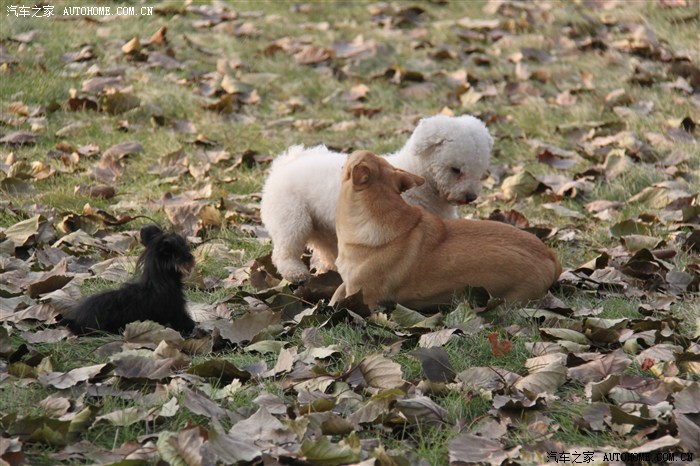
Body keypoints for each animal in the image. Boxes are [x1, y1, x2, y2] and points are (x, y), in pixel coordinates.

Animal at [64, 225, 196, 335]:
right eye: (185, 250)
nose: (192, 257)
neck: (159, 281)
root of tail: (76, 321)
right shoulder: (176, 310)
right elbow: (186, 323)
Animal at [260, 114, 493, 283]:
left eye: (480, 171)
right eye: (455, 170)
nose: (470, 196)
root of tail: (283, 165)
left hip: (322, 225)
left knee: (326, 248)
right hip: (291, 216)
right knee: (285, 248)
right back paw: (295, 273)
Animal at [331, 151, 562, 309]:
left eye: (350, 160)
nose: (345, 153)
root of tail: (551, 256)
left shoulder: (362, 296)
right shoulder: (347, 284)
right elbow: (336, 292)